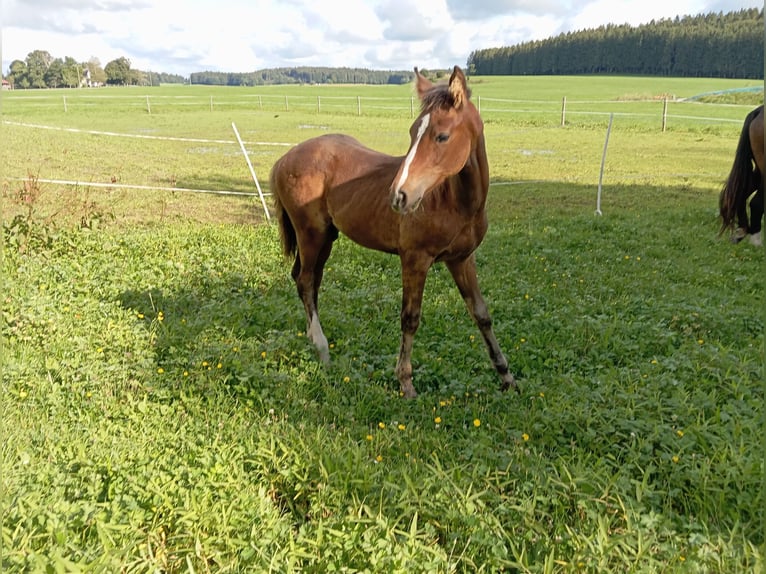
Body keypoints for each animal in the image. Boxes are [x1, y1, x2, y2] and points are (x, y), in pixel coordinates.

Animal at [270, 66, 516, 400]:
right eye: (412, 133)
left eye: (442, 136)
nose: (399, 196)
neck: (454, 202)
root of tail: (284, 159)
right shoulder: (414, 259)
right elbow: (410, 318)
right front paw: (405, 382)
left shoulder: (462, 259)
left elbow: (481, 313)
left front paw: (506, 376)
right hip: (311, 234)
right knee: (306, 281)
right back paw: (322, 348)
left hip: (326, 238)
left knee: (308, 279)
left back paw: (311, 336)